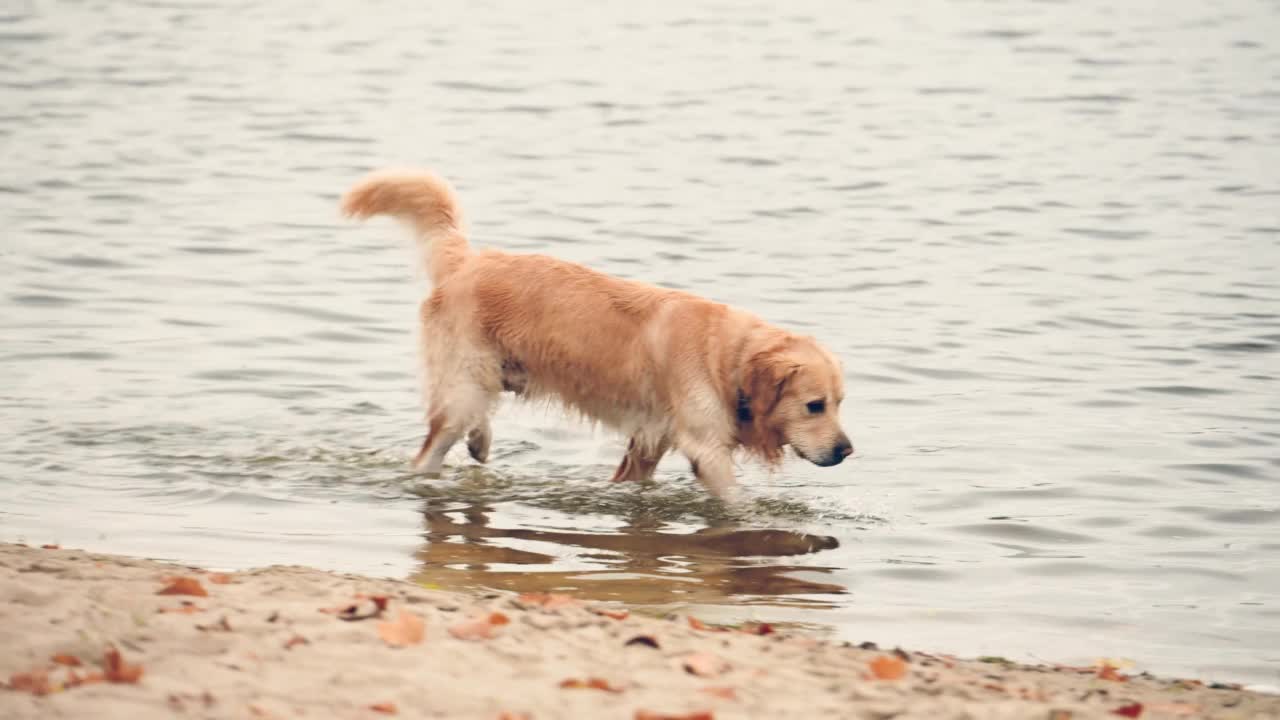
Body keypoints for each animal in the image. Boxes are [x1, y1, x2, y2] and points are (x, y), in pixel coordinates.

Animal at [345, 169, 855, 497]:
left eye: (839, 403)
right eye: (814, 406)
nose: (847, 451)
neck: (727, 359)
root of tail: (467, 261)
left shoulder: (650, 440)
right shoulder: (705, 447)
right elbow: (735, 501)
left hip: (483, 375)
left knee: (477, 413)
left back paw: (480, 442)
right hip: (462, 382)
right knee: (433, 446)